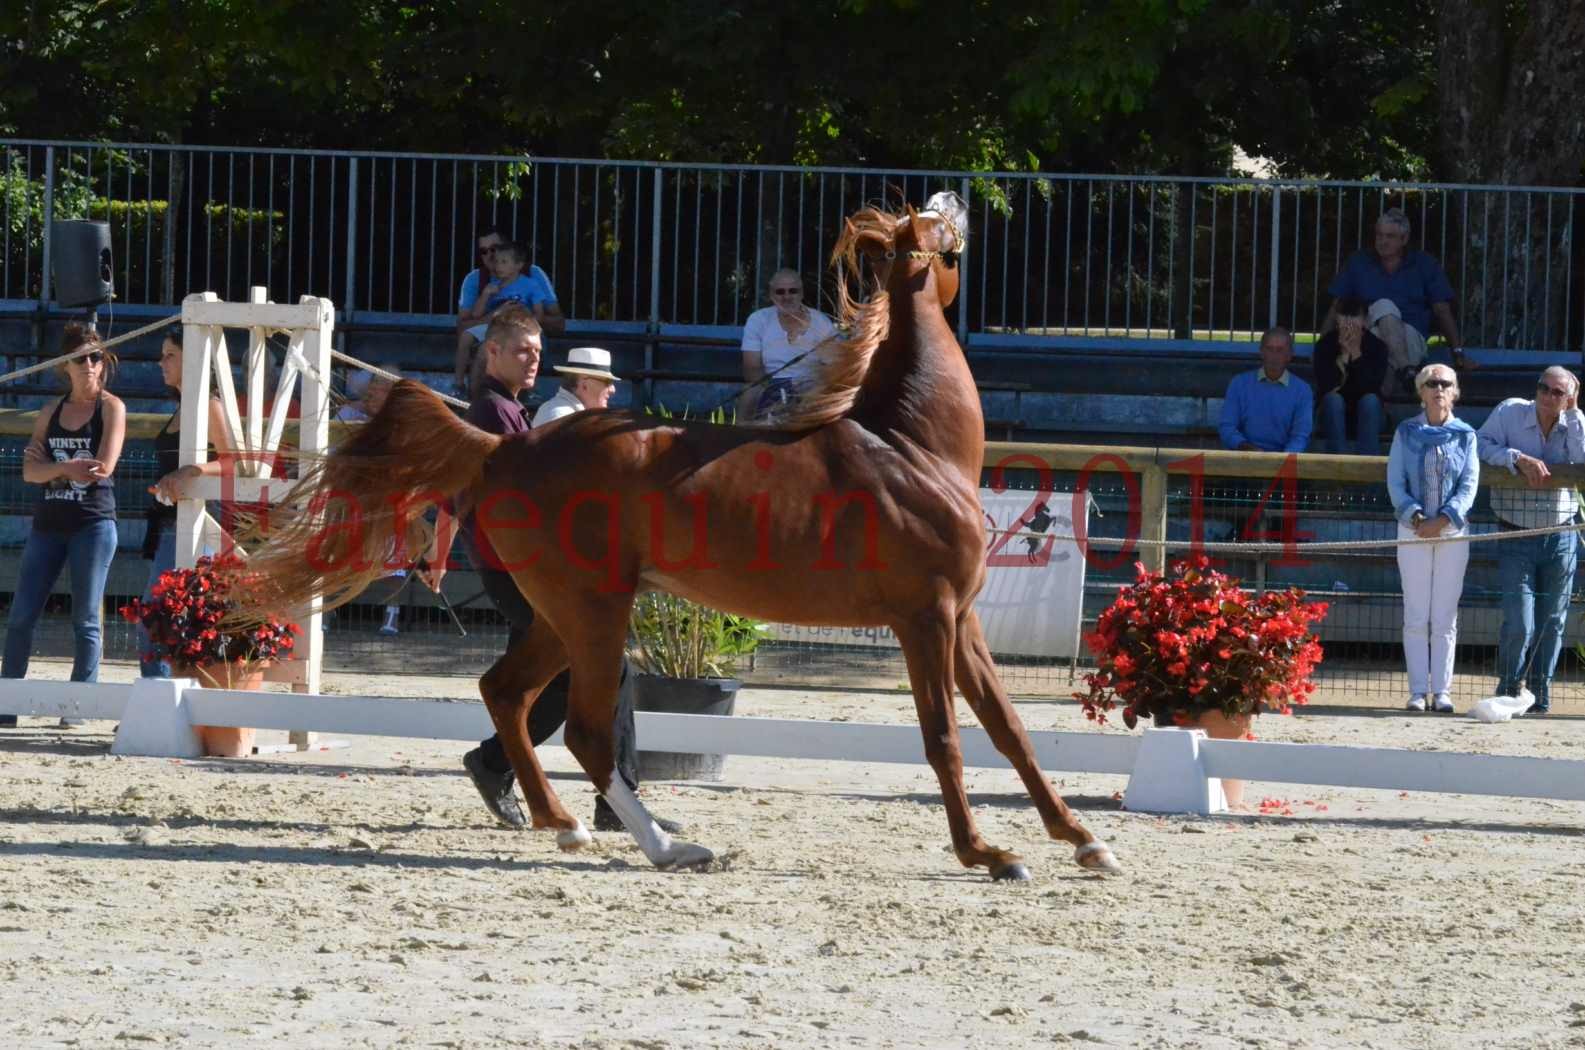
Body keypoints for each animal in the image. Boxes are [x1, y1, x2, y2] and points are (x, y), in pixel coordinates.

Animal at [244, 195, 1115, 881]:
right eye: (935, 230)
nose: (958, 203)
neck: (911, 448)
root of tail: (501, 449)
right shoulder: (924, 619)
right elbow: (945, 738)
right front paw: (989, 855)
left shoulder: (961, 621)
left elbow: (1009, 729)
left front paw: (1083, 841)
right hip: (595, 612)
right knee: (587, 729)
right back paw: (669, 847)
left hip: (559, 616)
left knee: (508, 696)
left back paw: (563, 824)